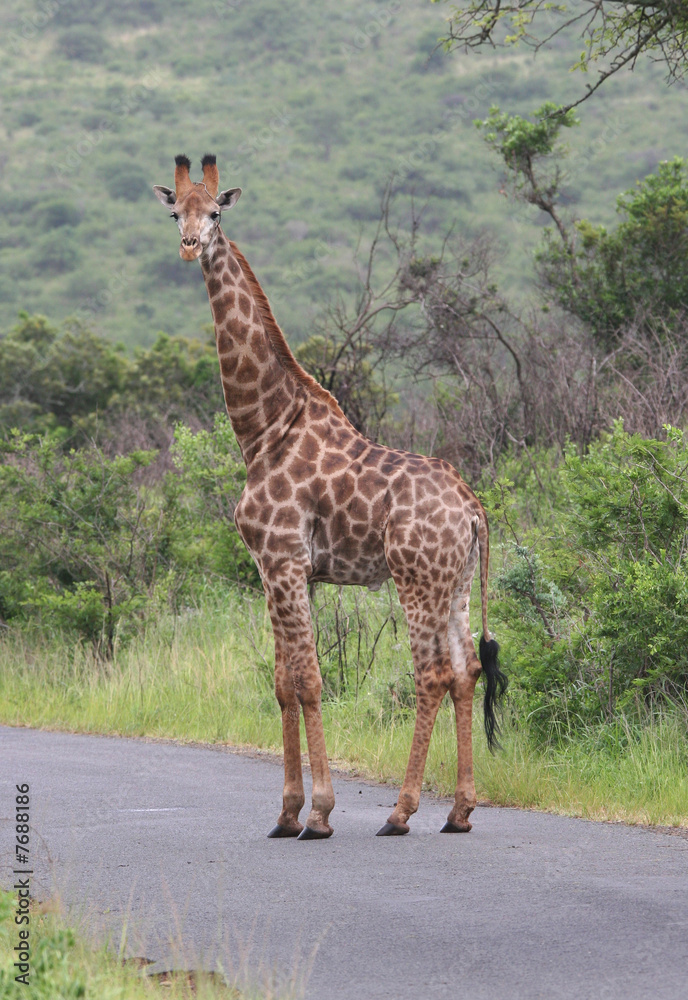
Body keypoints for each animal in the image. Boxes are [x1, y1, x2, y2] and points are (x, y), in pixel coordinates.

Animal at [153, 154, 507, 839]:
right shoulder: (277, 569)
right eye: (174, 209)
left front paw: (317, 813)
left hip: (415, 578)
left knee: (432, 674)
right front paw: (286, 812)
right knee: (467, 672)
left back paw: (401, 811)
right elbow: (283, 683)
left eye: (216, 214)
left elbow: (311, 681)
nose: (189, 245)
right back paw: (459, 811)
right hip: (454, 584)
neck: (264, 428)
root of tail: (473, 507)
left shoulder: (283, 560)